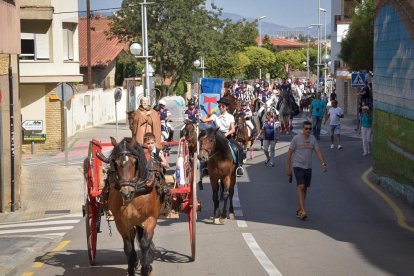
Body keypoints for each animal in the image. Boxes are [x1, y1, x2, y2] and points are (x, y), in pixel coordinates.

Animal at [98, 137, 164, 274]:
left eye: (134, 162)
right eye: (116, 163)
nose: (126, 191)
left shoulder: (151, 219)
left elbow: (145, 243)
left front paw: (146, 268)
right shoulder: (121, 223)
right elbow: (128, 247)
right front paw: (131, 267)